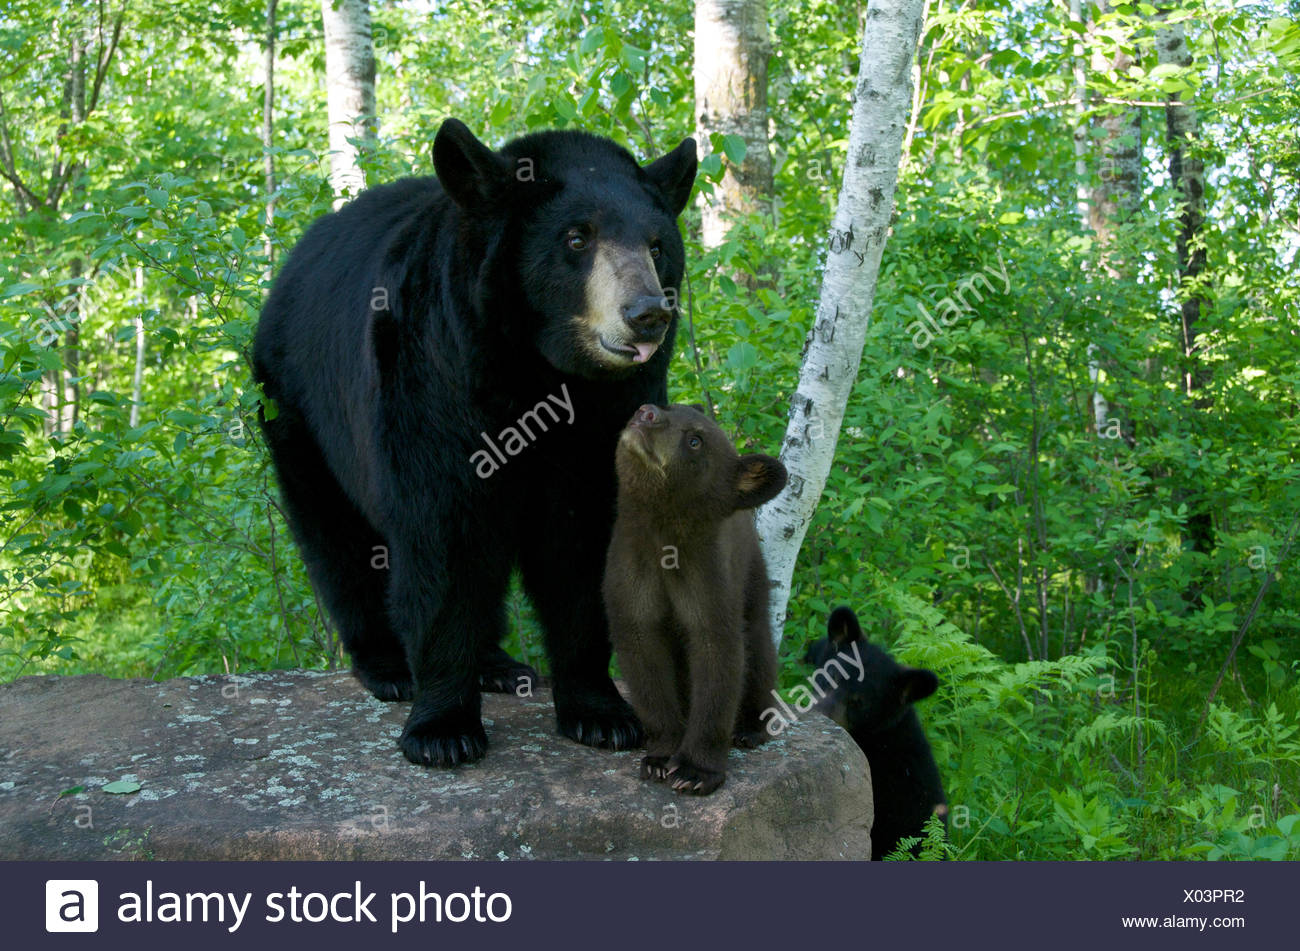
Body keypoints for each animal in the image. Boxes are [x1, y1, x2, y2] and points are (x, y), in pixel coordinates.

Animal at [252, 118, 698, 767]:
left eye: (658, 245)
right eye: (576, 237)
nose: (646, 313)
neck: (545, 375)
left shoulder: (608, 419)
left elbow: (583, 546)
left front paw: (602, 713)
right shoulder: (439, 378)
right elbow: (446, 536)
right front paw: (442, 728)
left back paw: (498, 665)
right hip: (296, 410)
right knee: (338, 541)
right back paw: (388, 665)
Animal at [602, 403, 786, 794]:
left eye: (695, 440)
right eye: (672, 406)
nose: (647, 412)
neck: (662, 536)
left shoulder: (707, 578)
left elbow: (718, 657)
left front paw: (695, 771)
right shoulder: (631, 572)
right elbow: (644, 659)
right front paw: (660, 757)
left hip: (752, 580)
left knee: (760, 648)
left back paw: (751, 727)